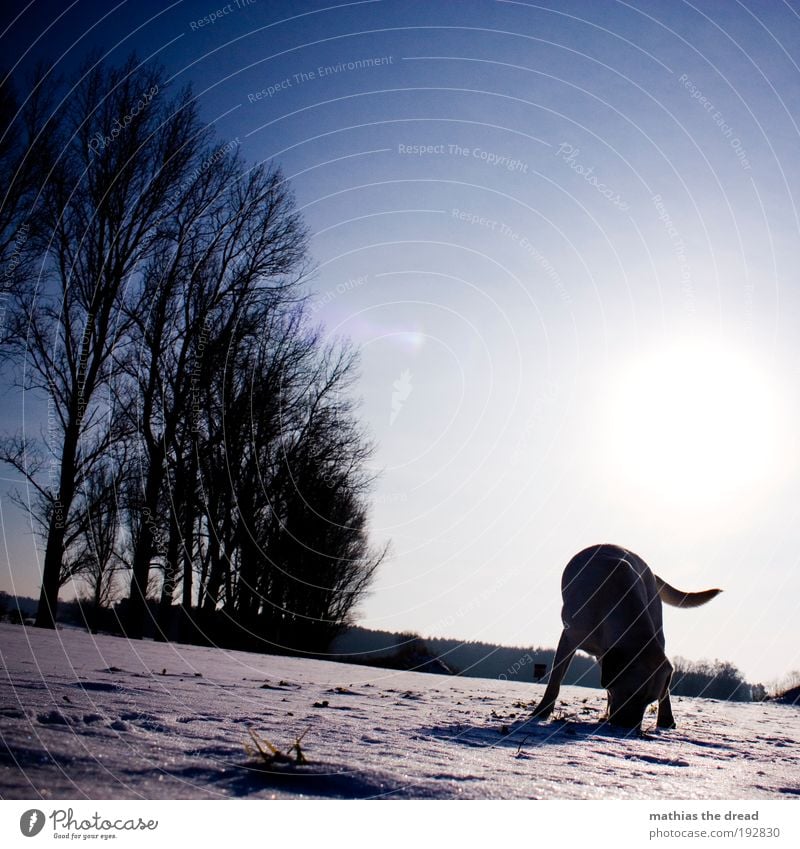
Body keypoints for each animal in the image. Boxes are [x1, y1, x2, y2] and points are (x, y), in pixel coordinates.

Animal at [536, 544, 720, 728]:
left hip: (656, 627)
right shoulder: (569, 638)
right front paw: (541, 712)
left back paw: (665, 719)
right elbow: (555, 678)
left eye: (649, 700)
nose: (631, 728)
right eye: (631, 694)